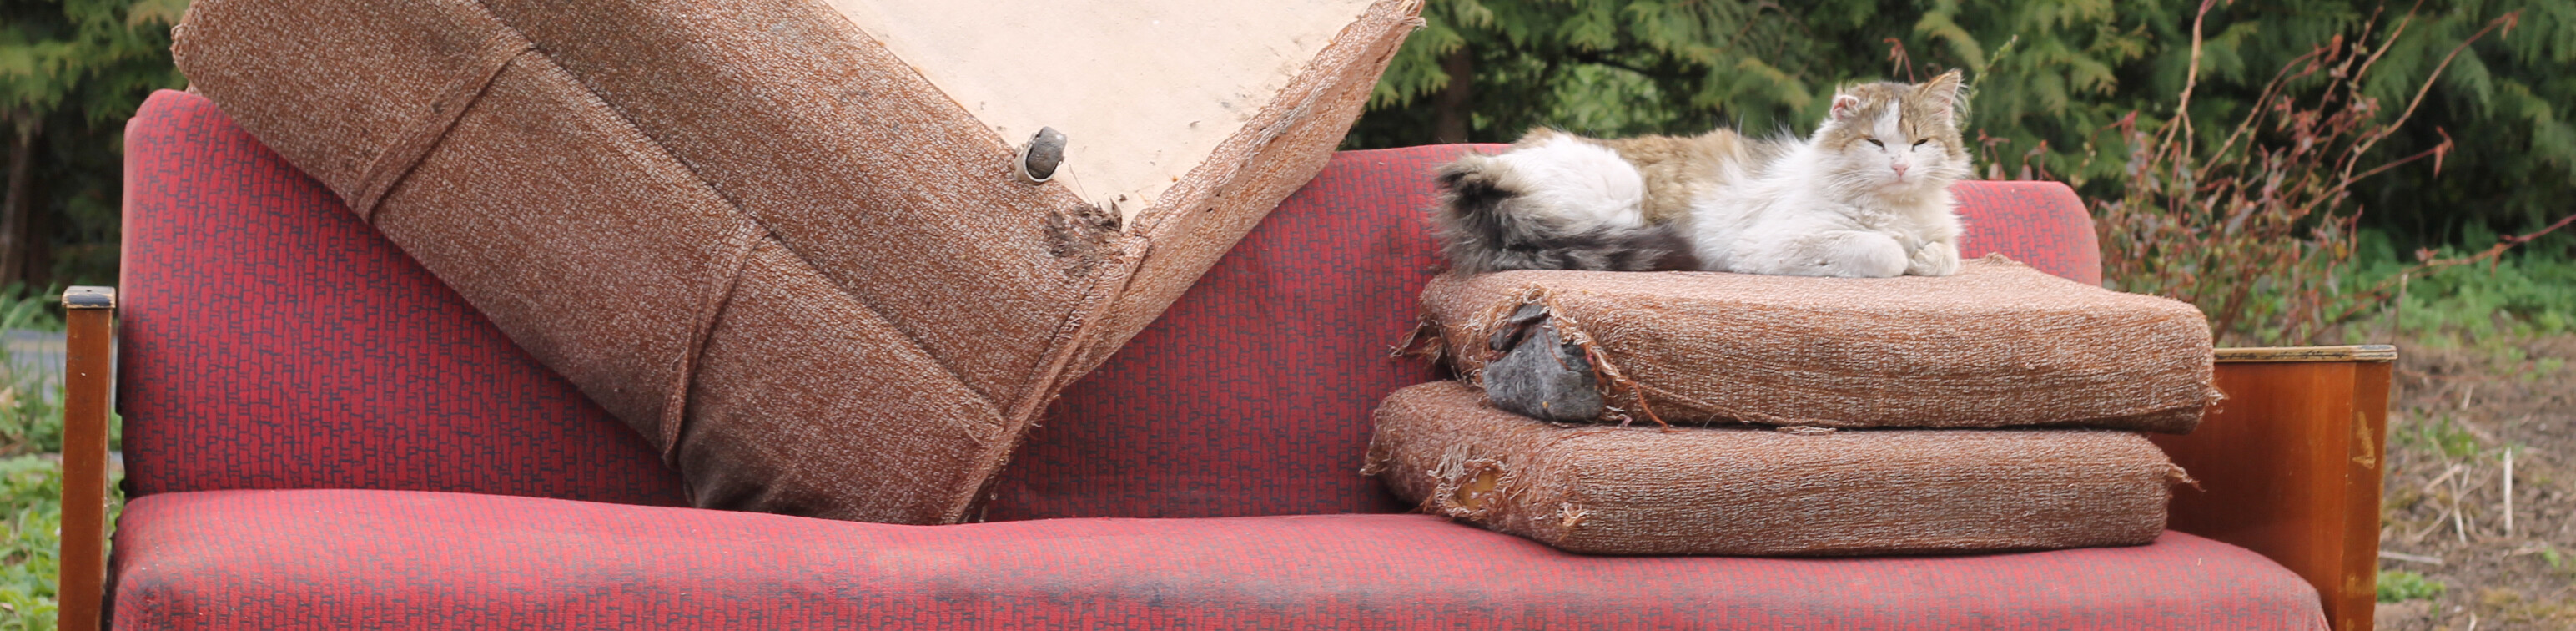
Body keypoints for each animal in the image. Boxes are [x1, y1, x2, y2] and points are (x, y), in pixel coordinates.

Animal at [1431, 68, 1968, 275]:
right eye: (1875, 143)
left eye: (1920, 143)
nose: (1900, 166)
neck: (1896, 209)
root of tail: (1489, 162)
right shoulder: (1769, 243)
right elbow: (1883, 251)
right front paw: (1903, 253)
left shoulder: (1942, 236)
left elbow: (1946, 255)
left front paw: (1924, 256)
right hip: (1619, 196)